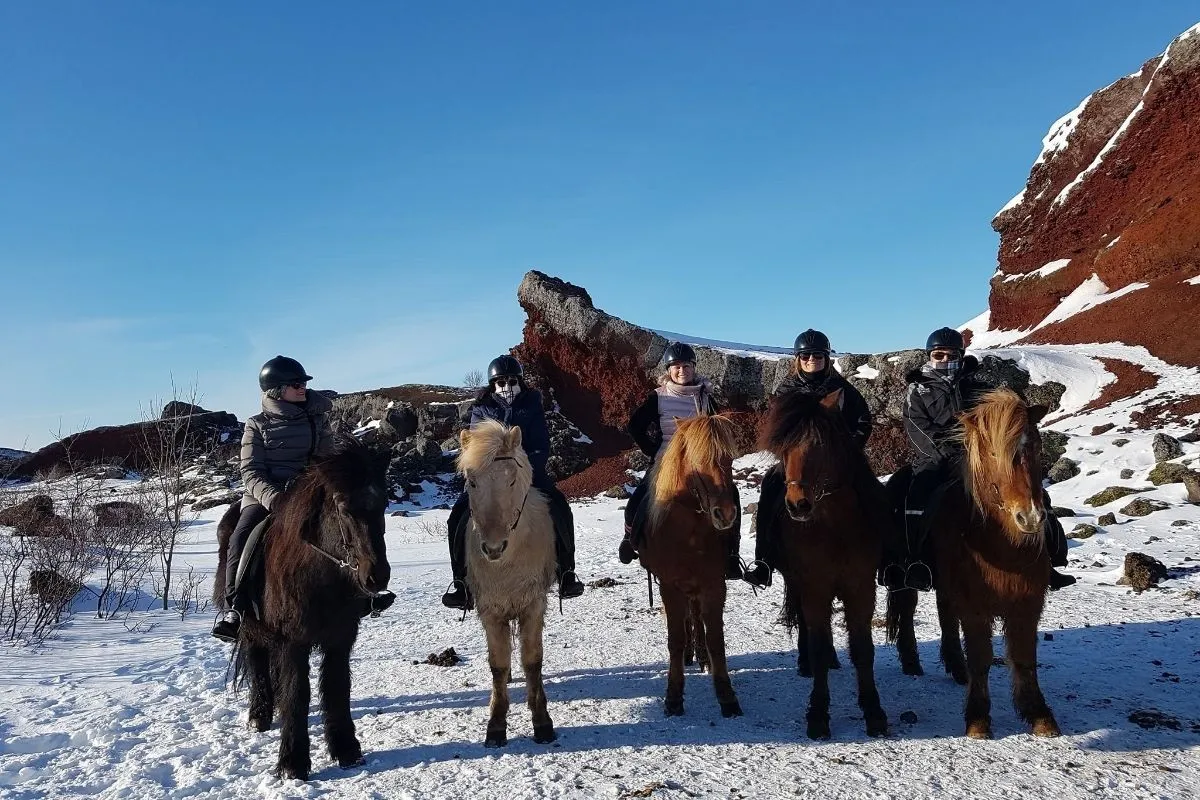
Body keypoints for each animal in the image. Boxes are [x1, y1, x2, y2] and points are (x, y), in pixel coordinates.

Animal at [213, 437, 390, 780]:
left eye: (384, 504)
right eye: (344, 507)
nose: (377, 576)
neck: (319, 577)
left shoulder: (340, 639)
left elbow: (337, 688)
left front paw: (347, 750)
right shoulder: (293, 641)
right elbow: (297, 693)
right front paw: (292, 763)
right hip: (250, 627)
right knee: (257, 662)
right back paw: (259, 715)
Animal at [457, 419, 559, 747]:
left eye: (512, 481)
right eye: (472, 482)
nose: (492, 548)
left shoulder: (533, 606)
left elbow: (533, 661)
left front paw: (542, 721)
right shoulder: (491, 611)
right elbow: (498, 666)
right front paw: (496, 724)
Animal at [637, 413, 743, 719]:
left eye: (729, 459)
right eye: (698, 462)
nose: (725, 513)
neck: (690, 533)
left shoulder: (714, 584)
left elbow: (716, 639)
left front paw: (726, 697)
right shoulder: (670, 586)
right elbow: (675, 639)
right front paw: (673, 698)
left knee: (695, 618)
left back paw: (701, 656)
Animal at [762, 388, 889, 740]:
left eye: (819, 444)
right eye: (783, 448)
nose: (797, 505)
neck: (835, 528)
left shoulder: (861, 588)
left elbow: (862, 649)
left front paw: (873, 711)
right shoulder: (814, 586)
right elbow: (817, 643)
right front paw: (818, 715)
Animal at [885, 389, 1059, 739]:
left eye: (1036, 446)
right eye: (993, 452)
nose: (1030, 517)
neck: (1000, 546)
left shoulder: (1028, 602)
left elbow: (1025, 658)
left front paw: (1039, 715)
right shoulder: (975, 606)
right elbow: (981, 658)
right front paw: (978, 719)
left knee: (945, 616)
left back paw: (956, 667)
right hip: (904, 577)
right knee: (908, 610)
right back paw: (912, 663)